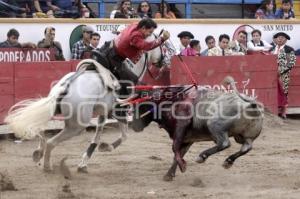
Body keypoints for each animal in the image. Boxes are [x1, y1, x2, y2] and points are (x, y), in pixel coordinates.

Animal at [4, 33, 176, 173]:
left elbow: (97, 137)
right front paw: (106, 147)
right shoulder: (119, 111)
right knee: (52, 142)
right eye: (165, 46)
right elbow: (124, 135)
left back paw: (38, 154)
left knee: (39, 128)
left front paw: (84, 163)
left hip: (53, 110)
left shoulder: (103, 114)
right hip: (76, 126)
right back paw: (47, 166)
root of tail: (65, 87)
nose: (166, 62)